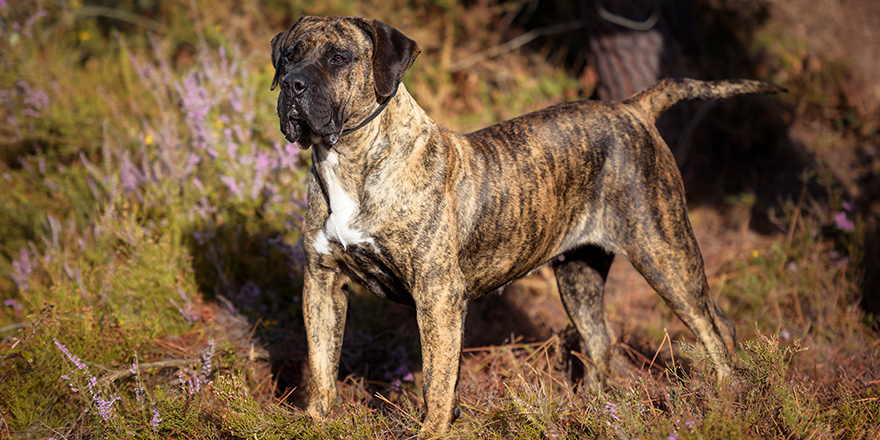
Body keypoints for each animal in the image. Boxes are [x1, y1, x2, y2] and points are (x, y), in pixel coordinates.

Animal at [270, 14, 784, 434]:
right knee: (601, 339)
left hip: (664, 252)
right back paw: (594, 411)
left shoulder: (437, 296)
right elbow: (322, 363)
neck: (349, 159)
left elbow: (437, 380)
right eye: (289, 54)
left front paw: (432, 430)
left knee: (714, 327)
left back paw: (726, 402)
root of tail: (634, 108)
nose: (292, 84)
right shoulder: (322, 282)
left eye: (339, 58)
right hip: (579, 274)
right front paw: (315, 422)